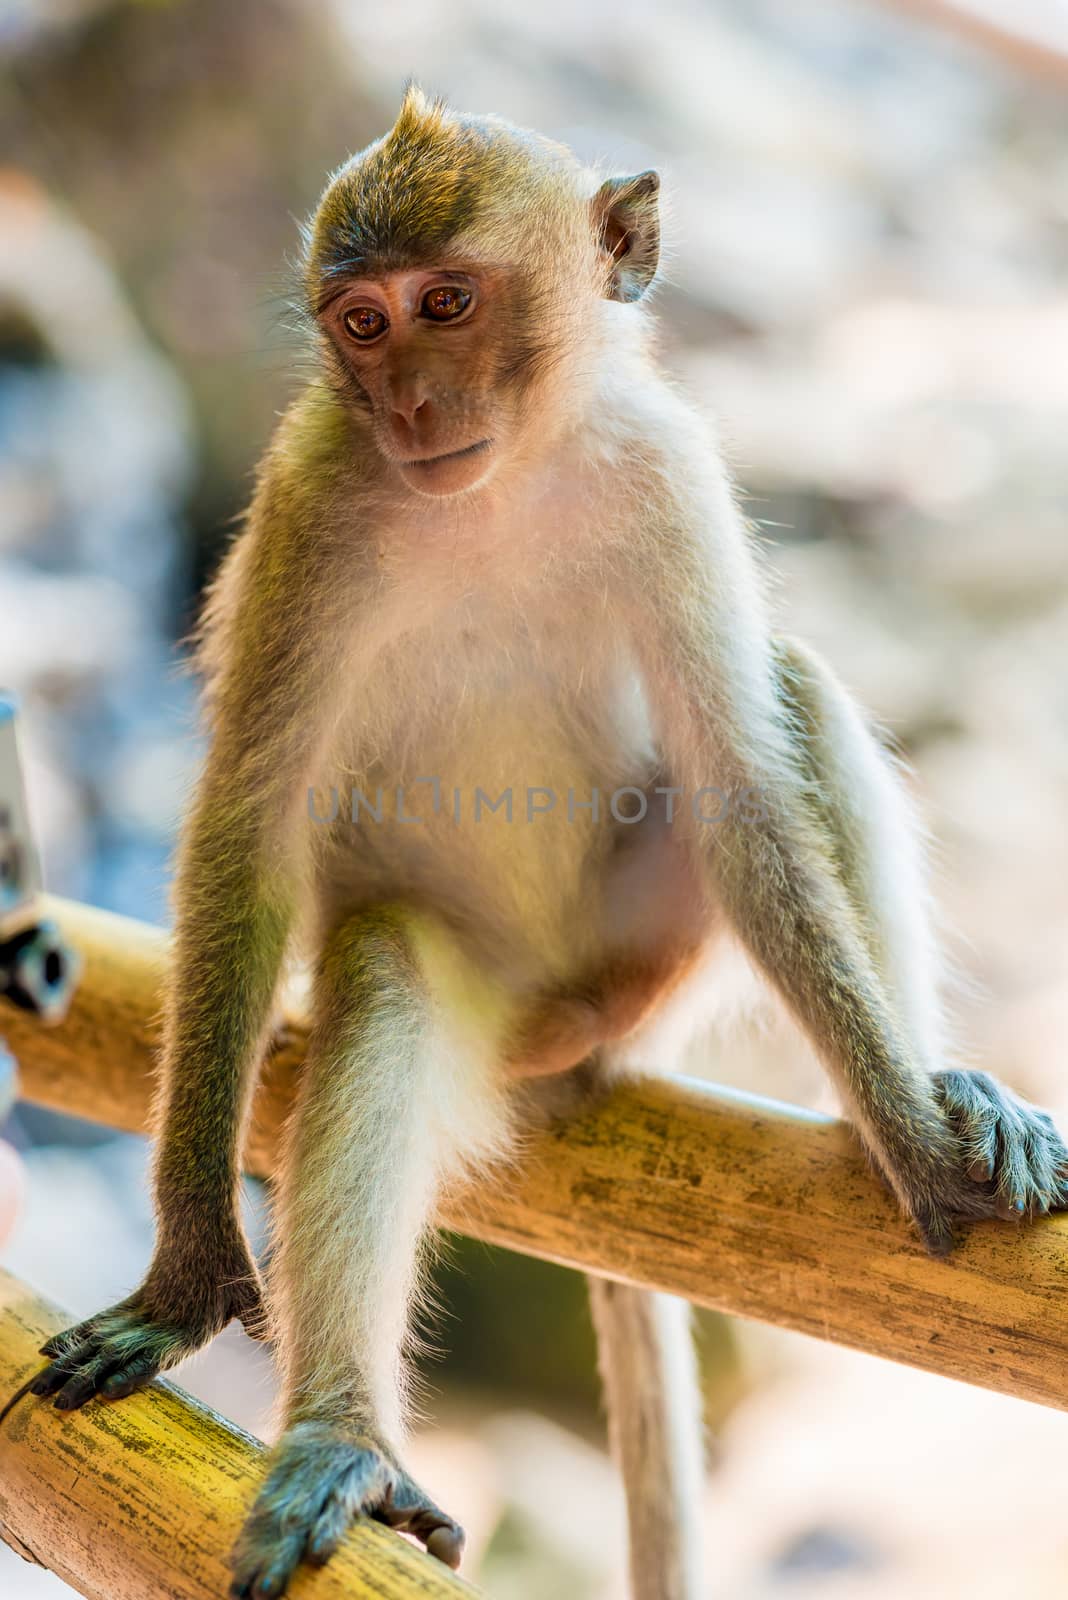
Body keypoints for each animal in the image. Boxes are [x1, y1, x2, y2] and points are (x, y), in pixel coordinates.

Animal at [29, 87, 1068, 1600]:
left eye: (449, 303)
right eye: (363, 323)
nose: (409, 403)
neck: (500, 482)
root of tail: (581, 1038)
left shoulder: (666, 471)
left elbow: (743, 781)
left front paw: (921, 1145)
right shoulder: (310, 497)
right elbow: (251, 821)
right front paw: (186, 1275)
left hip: (643, 968)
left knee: (793, 690)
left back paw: (919, 1096)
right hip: (499, 1012)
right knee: (386, 974)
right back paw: (346, 1443)